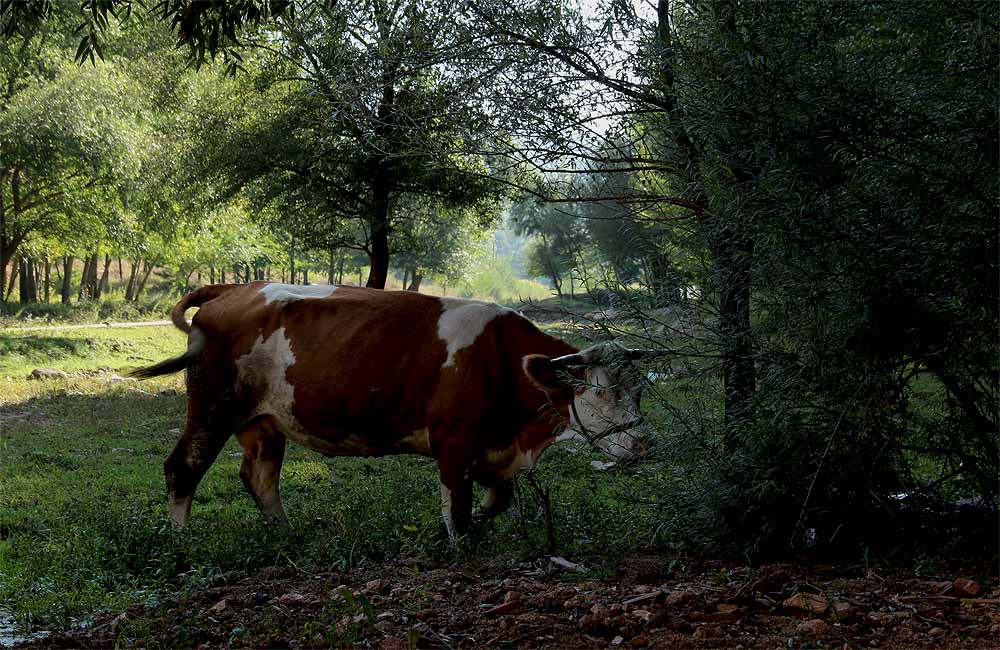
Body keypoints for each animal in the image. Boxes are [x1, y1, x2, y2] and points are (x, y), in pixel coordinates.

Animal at [129, 280, 652, 540]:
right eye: (602, 392)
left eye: (641, 390)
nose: (643, 444)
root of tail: (234, 289)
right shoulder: (455, 443)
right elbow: (456, 512)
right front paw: (463, 542)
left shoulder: (490, 448)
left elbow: (497, 499)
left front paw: (485, 518)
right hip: (212, 409)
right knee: (183, 468)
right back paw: (180, 543)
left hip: (264, 421)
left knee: (259, 476)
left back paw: (284, 533)